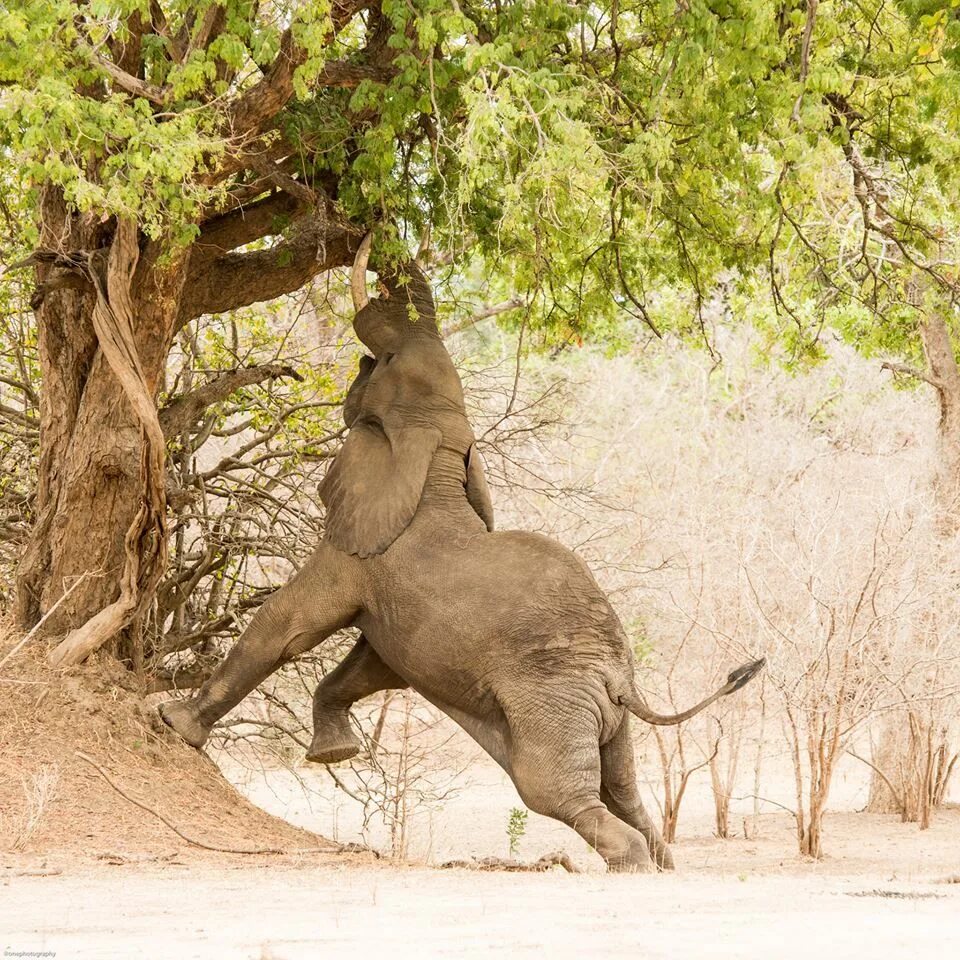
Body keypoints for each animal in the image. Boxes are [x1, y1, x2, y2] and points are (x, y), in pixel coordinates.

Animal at [163, 238, 764, 872]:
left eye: (389, 360)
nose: (372, 240)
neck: (436, 452)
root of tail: (623, 679)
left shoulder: (360, 552)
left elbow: (289, 624)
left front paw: (173, 722)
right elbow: (375, 663)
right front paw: (335, 753)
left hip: (551, 700)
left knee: (554, 791)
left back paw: (630, 865)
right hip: (607, 715)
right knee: (622, 789)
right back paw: (660, 860)